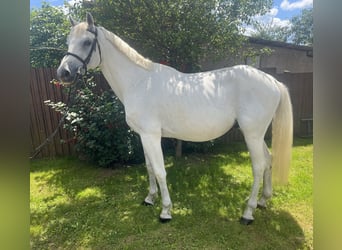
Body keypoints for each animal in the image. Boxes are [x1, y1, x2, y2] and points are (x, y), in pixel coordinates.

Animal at [57, 13, 292, 225]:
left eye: (87, 42)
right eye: (68, 41)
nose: (63, 73)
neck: (139, 82)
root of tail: (272, 80)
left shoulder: (152, 135)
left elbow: (160, 171)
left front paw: (165, 211)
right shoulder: (143, 136)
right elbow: (149, 167)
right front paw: (150, 199)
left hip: (252, 134)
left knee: (258, 166)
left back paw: (248, 213)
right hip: (256, 134)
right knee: (268, 161)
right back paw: (263, 201)